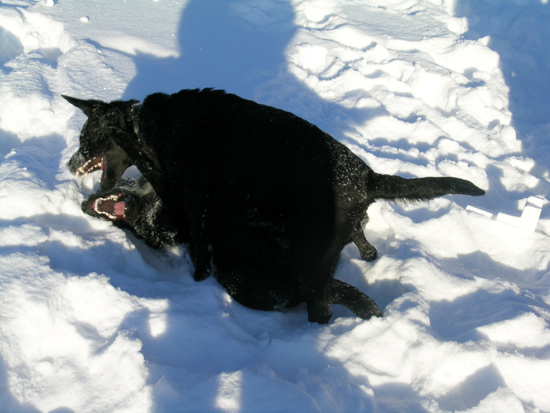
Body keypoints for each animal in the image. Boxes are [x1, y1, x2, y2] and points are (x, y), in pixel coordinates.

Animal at [66, 89, 488, 322]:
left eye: (87, 141)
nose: (70, 164)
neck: (149, 124)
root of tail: (367, 177)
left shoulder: (187, 191)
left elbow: (197, 238)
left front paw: (198, 276)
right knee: (360, 247)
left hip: (312, 255)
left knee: (320, 307)